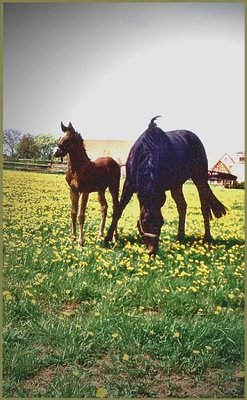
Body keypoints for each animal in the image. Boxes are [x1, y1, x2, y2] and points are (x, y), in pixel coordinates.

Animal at [105, 115, 227, 256]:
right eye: (145, 222)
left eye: (161, 223)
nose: (152, 251)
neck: (146, 152)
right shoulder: (130, 184)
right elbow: (119, 209)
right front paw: (107, 239)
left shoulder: (158, 191)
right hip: (176, 185)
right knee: (182, 205)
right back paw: (180, 236)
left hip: (200, 178)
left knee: (204, 207)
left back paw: (207, 238)